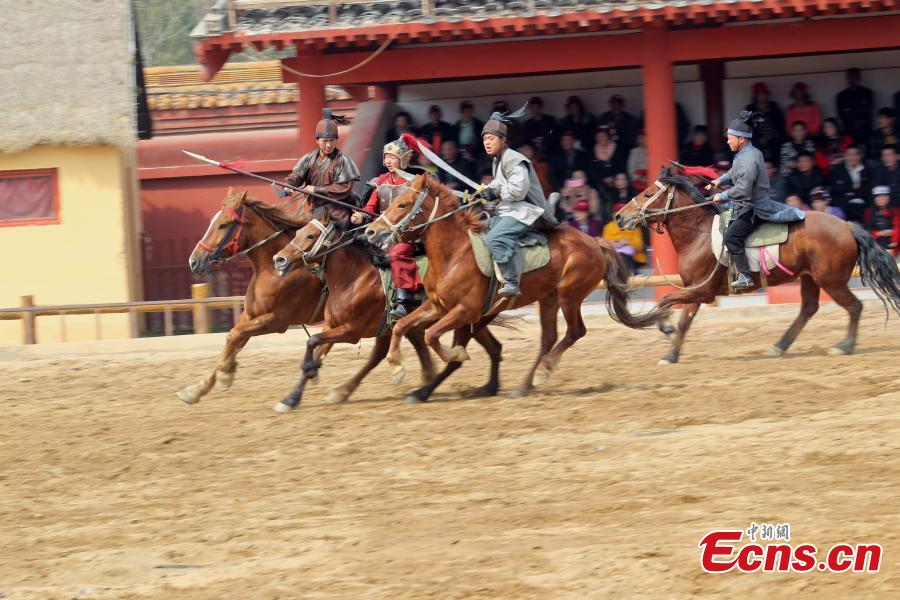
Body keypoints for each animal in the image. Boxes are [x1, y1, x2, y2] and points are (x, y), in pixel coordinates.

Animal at [179, 190, 432, 410]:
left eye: (223, 224)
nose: (194, 260)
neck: (270, 269)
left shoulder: (276, 320)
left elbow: (235, 336)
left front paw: (225, 374)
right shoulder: (251, 314)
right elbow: (233, 339)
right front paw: (198, 388)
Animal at [268, 210, 506, 408]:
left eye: (311, 236)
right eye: (298, 232)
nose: (279, 259)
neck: (353, 278)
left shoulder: (351, 331)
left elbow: (313, 341)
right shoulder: (335, 325)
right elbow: (316, 351)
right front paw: (292, 397)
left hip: (462, 318)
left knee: (456, 357)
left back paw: (424, 391)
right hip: (473, 320)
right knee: (494, 348)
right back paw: (488, 387)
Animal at [364, 173, 668, 398]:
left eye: (403, 204)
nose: (371, 231)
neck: (455, 253)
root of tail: (593, 241)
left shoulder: (465, 311)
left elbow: (432, 335)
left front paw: (455, 353)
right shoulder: (439, 306)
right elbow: (403, 326)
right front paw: (397, 367)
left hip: (569, 295)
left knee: (575, 331)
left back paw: (544, 370)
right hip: (549, 298)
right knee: (548, 338)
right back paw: (525, 384)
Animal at [612, 166, 900, 364]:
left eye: (648, 193)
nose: (619, 216)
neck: (697, 235)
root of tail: (847, 226)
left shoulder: (702, 290)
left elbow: (668, 304)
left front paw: (667, 334)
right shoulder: (696, 291)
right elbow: (683, 319)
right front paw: (671, 351)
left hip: (831, 279)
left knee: (854, 306)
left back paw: (845, 345)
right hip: (810, 277)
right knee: (808, 308)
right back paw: (780, 346)